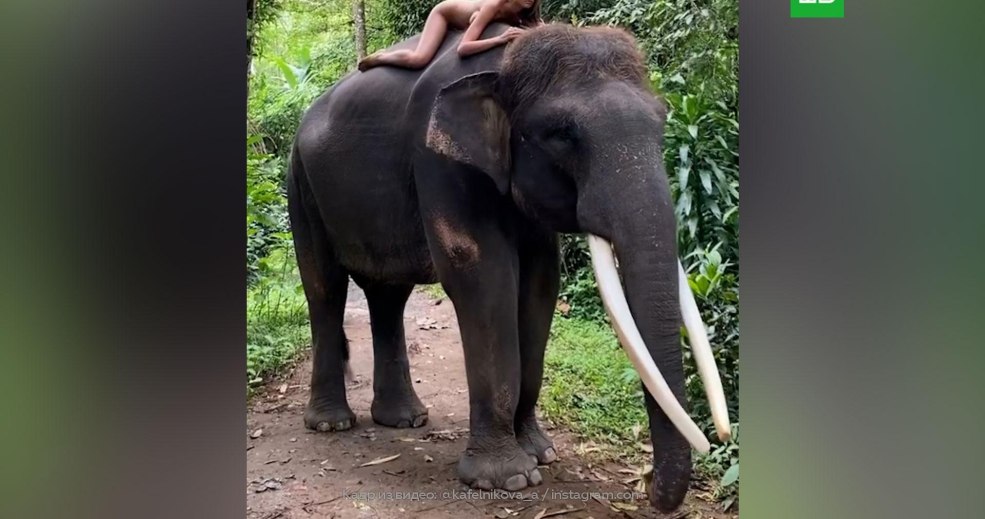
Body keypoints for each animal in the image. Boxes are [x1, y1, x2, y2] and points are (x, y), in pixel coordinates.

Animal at [287, 22, 730, 512]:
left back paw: (405, 420)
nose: (647, 483)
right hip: (300, 183)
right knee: (325, 287)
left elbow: (540, 283)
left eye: (662, 121)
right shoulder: (439, 160)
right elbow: (484, 278)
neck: (505, 60)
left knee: (389, 295)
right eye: (562, 134)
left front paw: (542, 453)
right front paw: (508, 478)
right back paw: (332, 424)